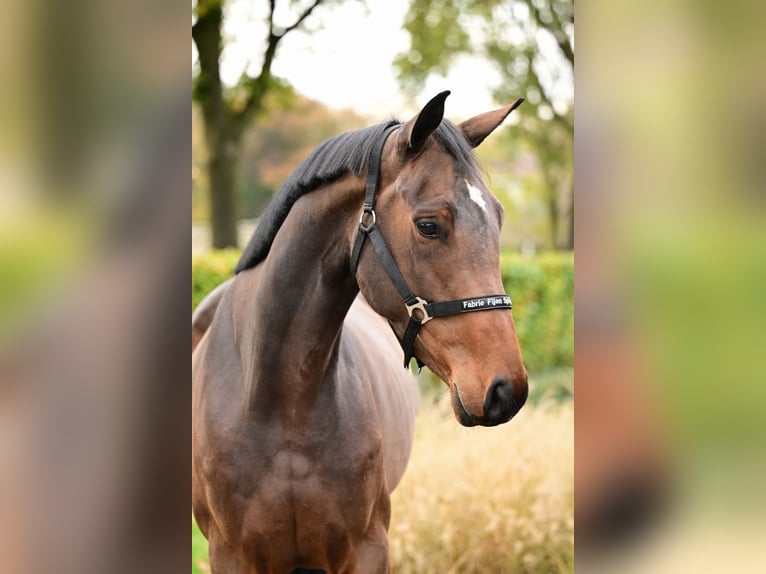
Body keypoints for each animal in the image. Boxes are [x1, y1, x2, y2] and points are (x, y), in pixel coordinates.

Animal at [190, 92, 536, 572]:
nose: (507, 389)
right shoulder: (232, 555)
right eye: (428, 225)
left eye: (498, 218)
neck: (280, 402)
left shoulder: (367, 547)